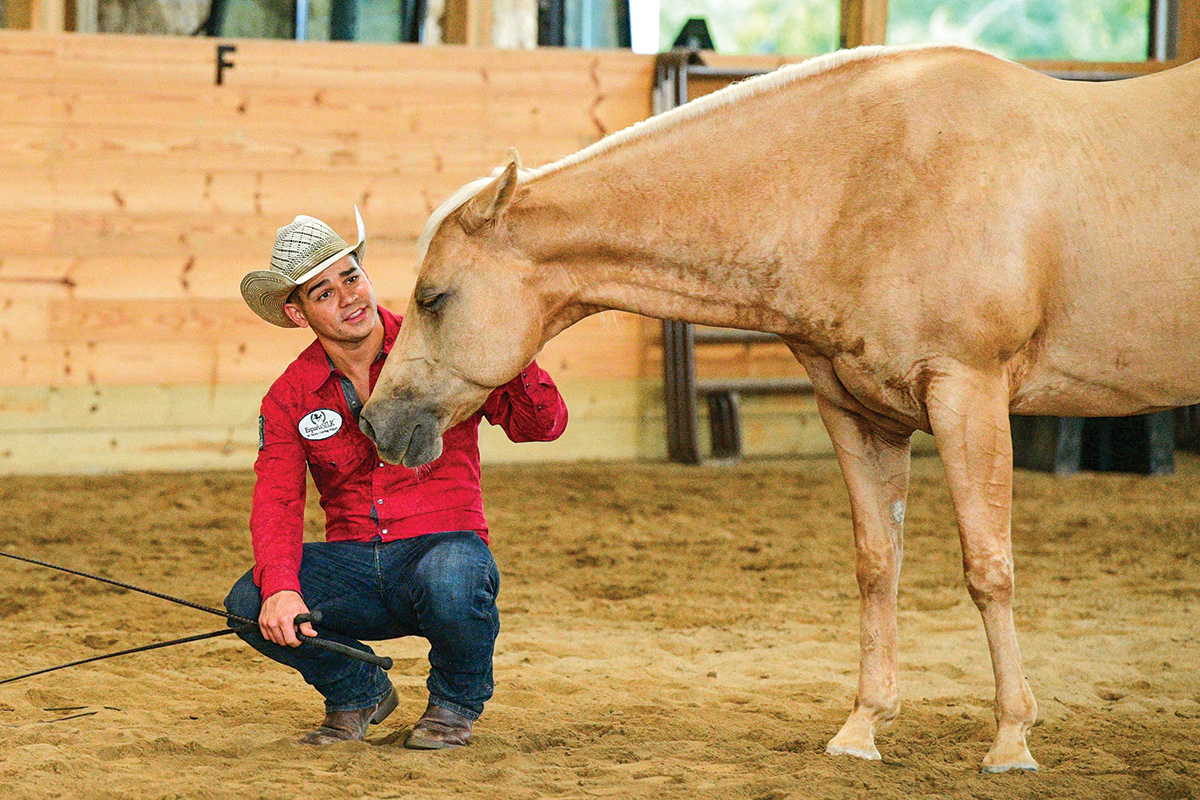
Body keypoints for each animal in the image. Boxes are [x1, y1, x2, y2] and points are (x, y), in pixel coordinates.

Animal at [357, 45, 1200, 777]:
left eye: (433, 298)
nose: (375, 422)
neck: (866, 178)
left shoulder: (970, 395)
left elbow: (988, 568)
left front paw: (1011, 741)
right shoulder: (860, 415)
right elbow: (877, 564)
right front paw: (862, 729)